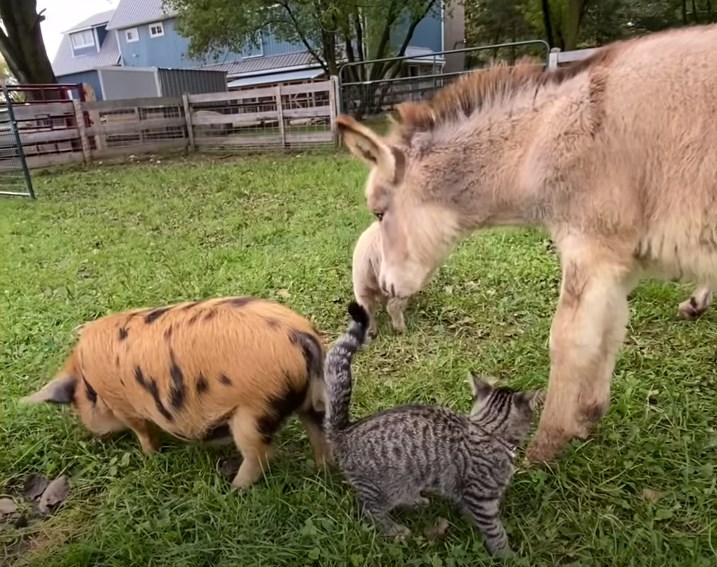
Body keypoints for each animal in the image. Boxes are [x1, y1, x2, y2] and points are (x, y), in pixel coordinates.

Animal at [326, 304, 544, 556]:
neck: (487, 430)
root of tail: (345, 431)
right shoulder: (481, 498)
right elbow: (495, 530)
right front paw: (507, 555)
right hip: (384, 488)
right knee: (369, 508)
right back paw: (394, 529)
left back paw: (417, 501)